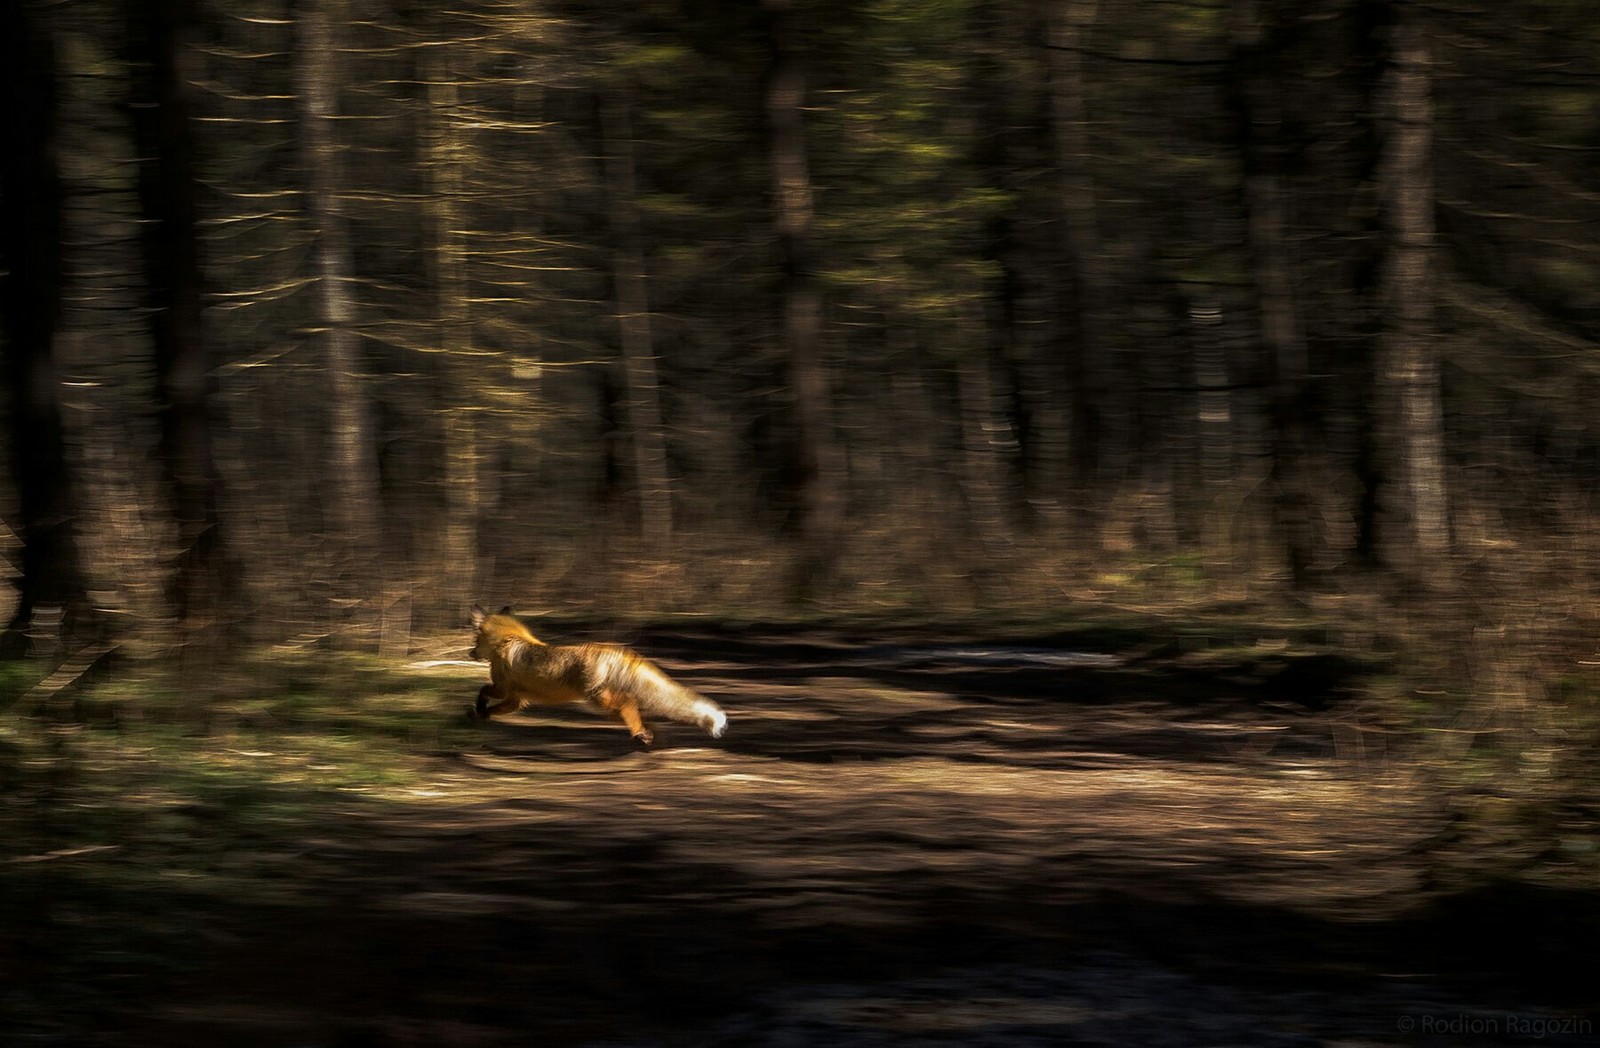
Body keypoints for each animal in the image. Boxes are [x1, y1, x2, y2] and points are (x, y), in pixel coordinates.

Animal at [467, 608, 729, 745]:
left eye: (475, 640)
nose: (470, 653)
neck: (507, 641)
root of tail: (610, 648)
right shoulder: (516, 699)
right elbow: (495, 705)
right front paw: (482, 715)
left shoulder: (503, 688)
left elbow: (482, 690)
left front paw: (478, 711)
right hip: (604, 701)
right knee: (633, 709)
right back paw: (646, 731)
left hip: (597, 698)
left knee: (628, 704)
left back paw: (640, 733)